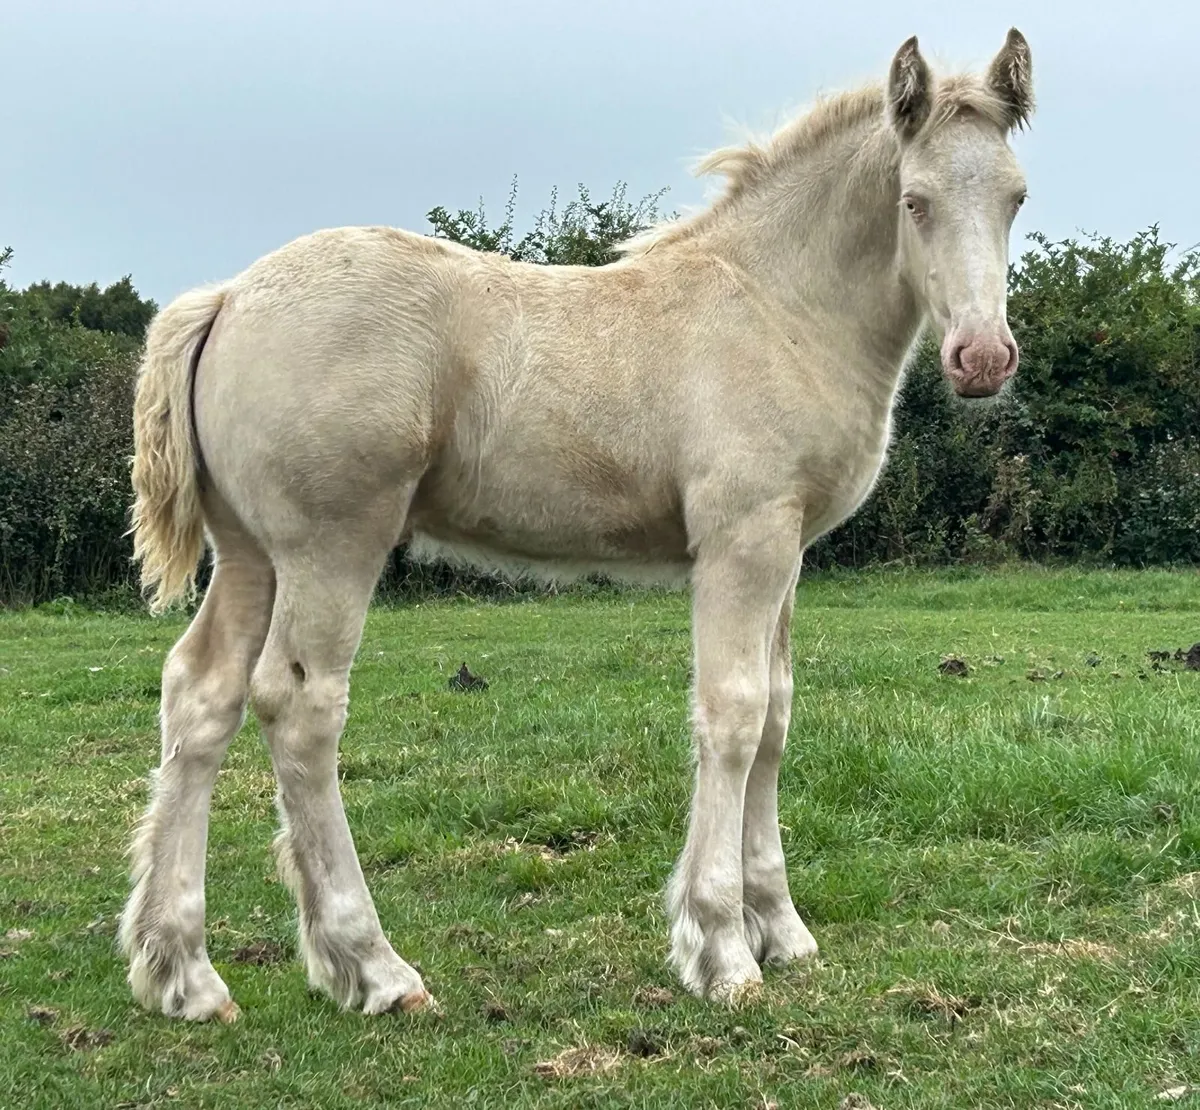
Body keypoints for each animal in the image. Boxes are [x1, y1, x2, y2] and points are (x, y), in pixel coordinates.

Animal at [118, 30, 1034, 1021]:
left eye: (1017, 196)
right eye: (915, 199)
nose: (982, 358)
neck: (775, 307)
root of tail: (229, 298)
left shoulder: (787, 551)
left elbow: (779, 714)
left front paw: (782, 930)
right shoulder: (742, 542)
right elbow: (734, 713)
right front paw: (722, 946)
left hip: (251, 553)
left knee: (201, 694)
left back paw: (184, 973)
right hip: (333, 545)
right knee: (300, 706)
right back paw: (373, 967)